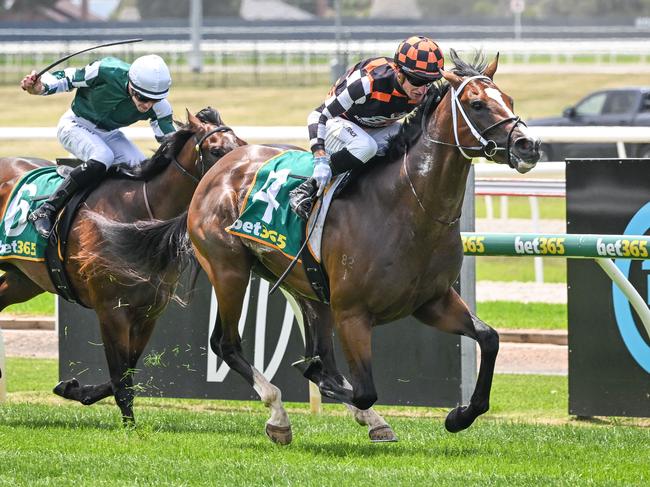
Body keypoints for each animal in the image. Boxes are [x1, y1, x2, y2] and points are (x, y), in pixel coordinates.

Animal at [0, 107, 244, 424]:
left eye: (241, 143)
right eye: (216, 150)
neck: (136, 220)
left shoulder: (149, 311)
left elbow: (127, 370)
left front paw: (73, 389)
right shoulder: (111, 310)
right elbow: (120, 376)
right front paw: (130, 427)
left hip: (23, 280)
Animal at [88, 51, 540, 444]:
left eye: (510, 100)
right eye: (477, 104)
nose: (527, 146)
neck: (409, 206)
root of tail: (217, 170)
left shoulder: (433, 301)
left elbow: (489, 339)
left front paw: (460, 415)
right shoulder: (353, 313)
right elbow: (358, 387)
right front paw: (330, 389)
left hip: (306, 287)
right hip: (229, 268)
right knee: (226, 344)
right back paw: (278, 416)